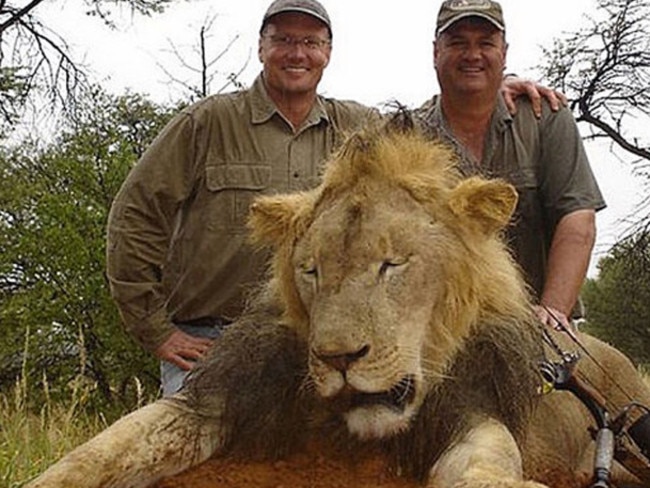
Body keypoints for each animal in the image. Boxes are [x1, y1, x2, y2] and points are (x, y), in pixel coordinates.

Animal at [26, 124, 650, 486]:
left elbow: (486, 465)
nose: (338, 359)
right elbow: (99, 453)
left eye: (392, 264)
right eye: (313, 271)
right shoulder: (223, 398)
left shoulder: (472, 409)